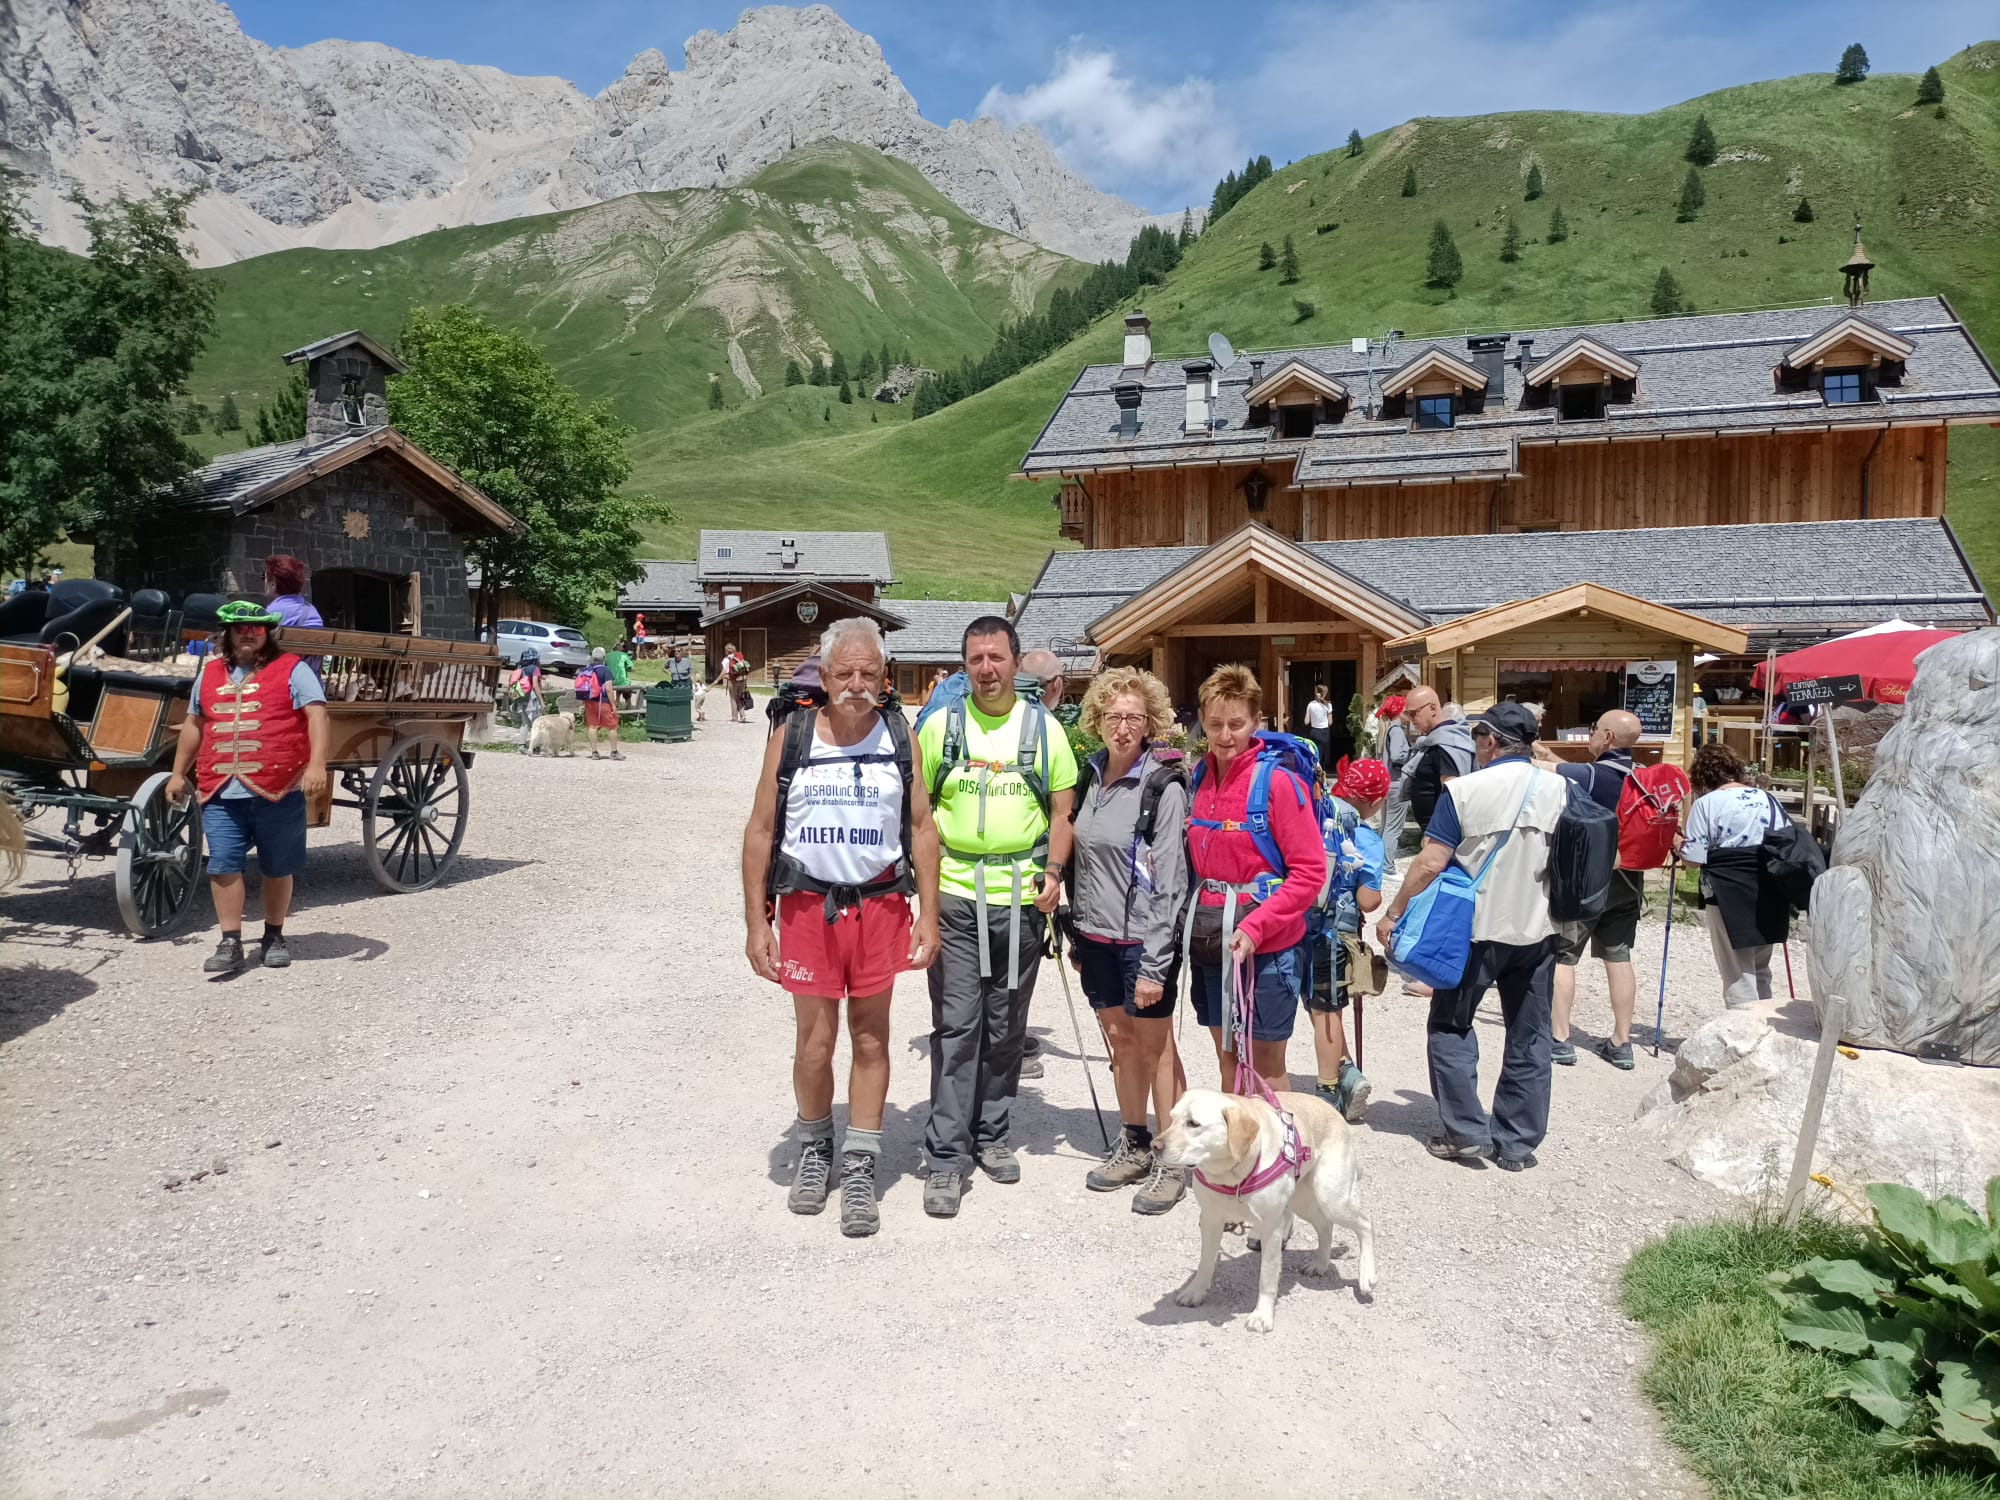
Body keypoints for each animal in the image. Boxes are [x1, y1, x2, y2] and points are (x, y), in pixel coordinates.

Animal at [1160, 1096, 1376, 1336]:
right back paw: (1319, 1263)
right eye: (1171, 1119)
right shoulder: (1210, 1219)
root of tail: (1334, 1111)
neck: (1234, 1175)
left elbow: (1267, 1277)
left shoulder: (1271, 1227)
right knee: (1325, 1226)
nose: (1154, 1146)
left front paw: (1262, 1316)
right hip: (1304, 1200)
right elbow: (1205, 1262)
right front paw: (1195, 1291)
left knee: (1365, 1224)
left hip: (1333, 1198)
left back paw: (1367, 1275)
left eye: (1193, 1123)